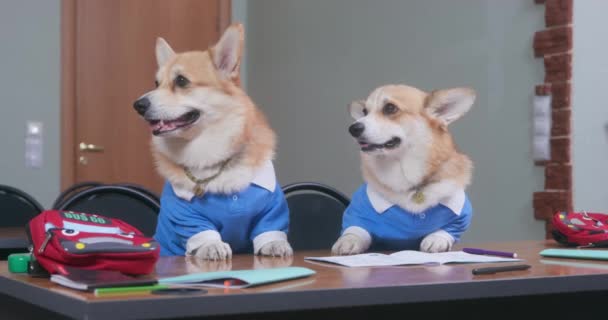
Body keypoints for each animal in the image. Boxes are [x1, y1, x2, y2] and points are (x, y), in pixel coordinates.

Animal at [134, 24, 294, 260]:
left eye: (181, 81)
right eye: (156, 83)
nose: (138, 105)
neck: (212, 156)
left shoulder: (270, 206)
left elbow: (270, 228)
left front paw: (274, 244)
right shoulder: (185, 213)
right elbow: (202, 232)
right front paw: (212, 246)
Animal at [332, 84, 476, 254]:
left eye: (390, 108)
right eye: (364, 112)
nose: (353, 128)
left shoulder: (458, 214)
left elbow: (445, 229)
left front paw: (436, 240)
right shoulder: (358, 212)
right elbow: (355, 229)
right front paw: (348, 241)